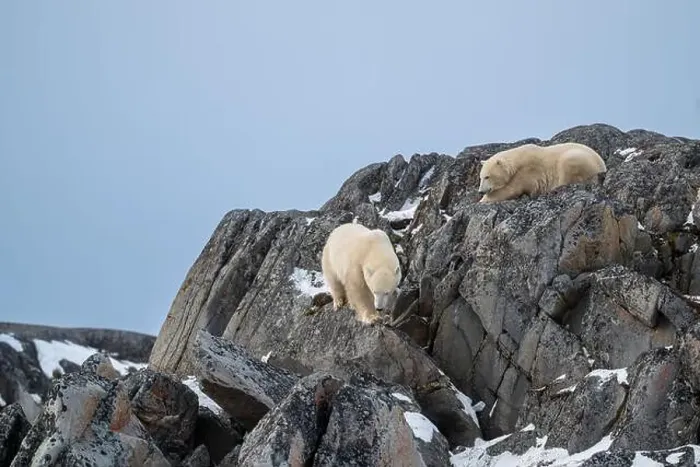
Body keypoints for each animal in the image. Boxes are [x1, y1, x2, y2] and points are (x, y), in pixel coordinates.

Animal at [477, 142, 607, 203]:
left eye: (487, 177)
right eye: (481, 177)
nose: (480, 191)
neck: (518, 159)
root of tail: (602, 165)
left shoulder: (529, 170)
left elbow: (512, 188)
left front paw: (482, 200)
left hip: (580, 159)